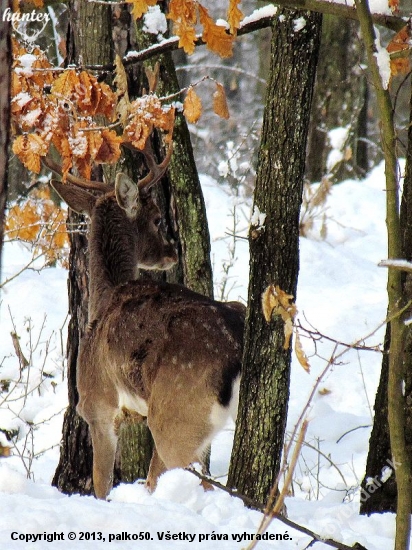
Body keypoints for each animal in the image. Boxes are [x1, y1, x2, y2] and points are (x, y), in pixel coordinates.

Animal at [50, 141, 245, 500]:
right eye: (156, 218)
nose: (172, 252)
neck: (102, 300)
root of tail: (237, 346)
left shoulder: (96, 404)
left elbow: (101, 485)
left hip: (177, 417)